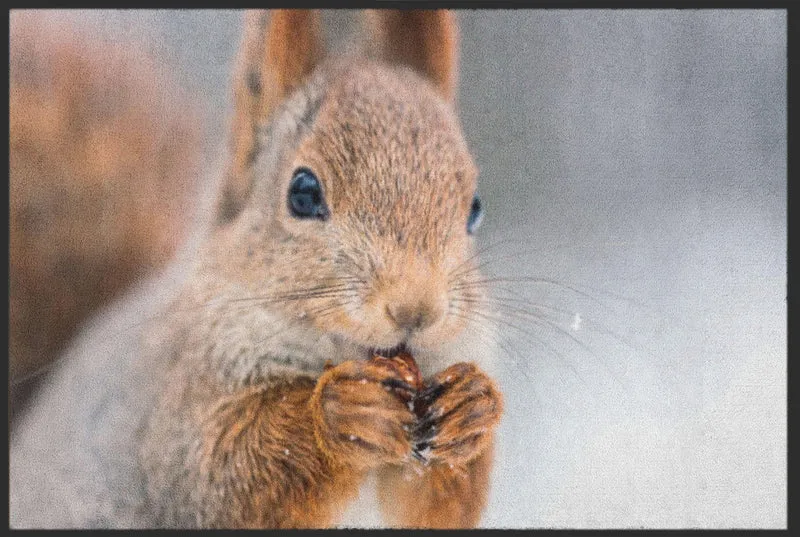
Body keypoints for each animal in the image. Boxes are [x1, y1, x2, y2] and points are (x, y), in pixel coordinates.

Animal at [10, 10, 503, 529]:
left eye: (475, 208)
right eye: (302, 193)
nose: (416, 309)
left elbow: (437, 507)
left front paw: (472, 407)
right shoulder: (173, 406)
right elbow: (227, 477)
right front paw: (339, 411)